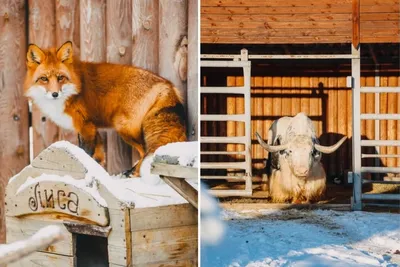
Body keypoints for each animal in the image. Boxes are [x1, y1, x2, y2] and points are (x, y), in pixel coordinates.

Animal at [24, 40, 187, 177]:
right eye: (44, 79)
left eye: (60, 78)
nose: (55, 94)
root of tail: (166, 84)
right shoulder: (89, 127)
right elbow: (98, 156)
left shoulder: (86, 125)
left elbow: (86, 152)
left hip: (124, 127)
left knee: (145, 152)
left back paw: (134, 174)